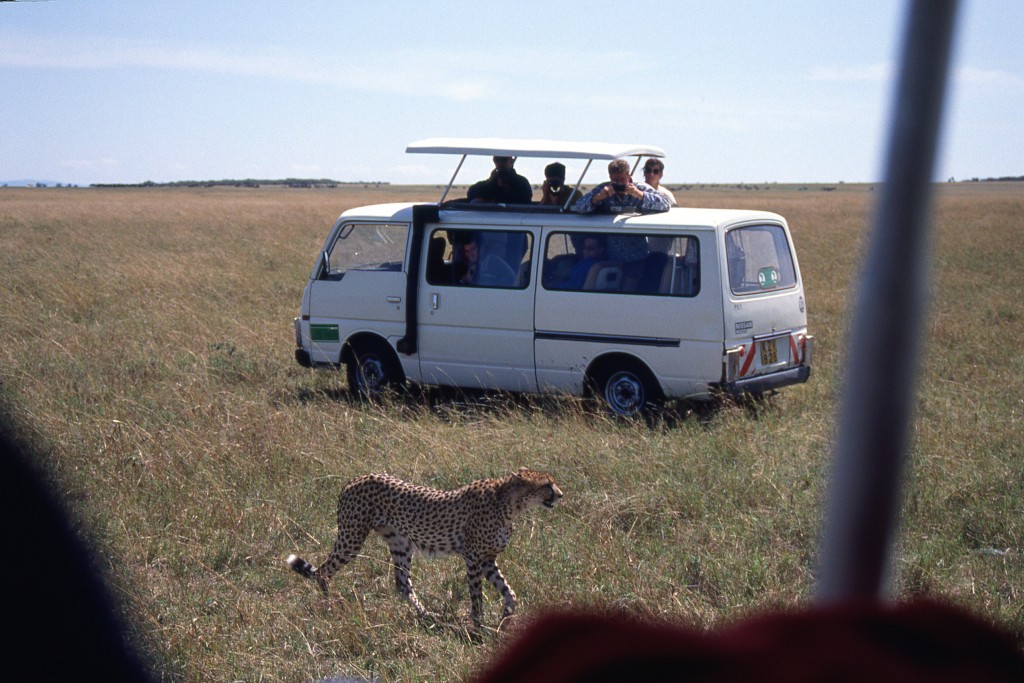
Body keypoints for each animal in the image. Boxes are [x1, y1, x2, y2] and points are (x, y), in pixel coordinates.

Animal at [286, 471, 561, 626]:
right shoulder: (473, 558)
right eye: (547, 484)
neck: (509, 504)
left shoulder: (487, 559)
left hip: (400, 544)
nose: (560, 495)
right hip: (351, 538)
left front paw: (506, 615)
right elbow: (477, 595)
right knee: (324, 570)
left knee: (402, 584)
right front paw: (478, 626)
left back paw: (427, 615)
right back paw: (329, 605)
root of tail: (355, 479)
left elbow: (508, 590)